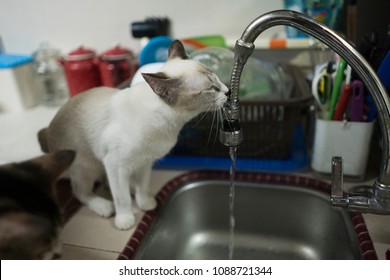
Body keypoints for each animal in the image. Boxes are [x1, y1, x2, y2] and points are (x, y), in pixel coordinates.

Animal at [38, 41, 229, 230]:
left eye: (218, 79)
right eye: (212, 88)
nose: (228, 91)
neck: (170, 125)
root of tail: (49, 130)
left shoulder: (144, 162)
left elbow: (142, 187)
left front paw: (145, 203)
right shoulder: (115, 164)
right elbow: (121, 199)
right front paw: (125, 220)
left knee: (108, 183)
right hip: (87, 166)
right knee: (82, 192)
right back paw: (105, 207)